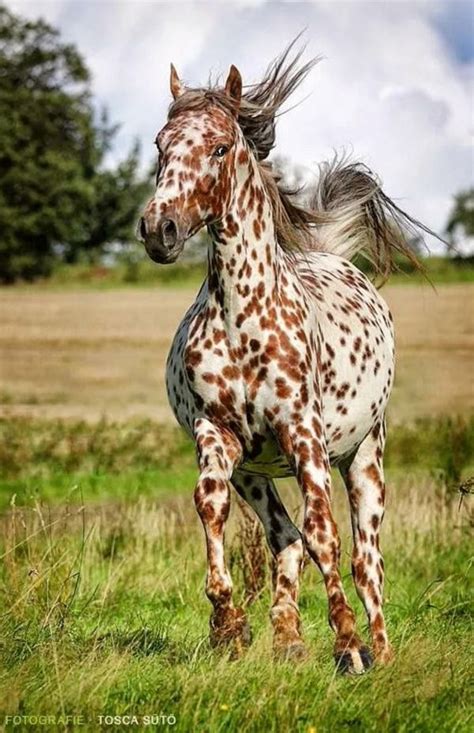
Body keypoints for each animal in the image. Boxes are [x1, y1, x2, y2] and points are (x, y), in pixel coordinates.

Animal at [138, 43, 436, 676]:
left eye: (219, 147)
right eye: (160, 145)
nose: (159, 229)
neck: (243, 316)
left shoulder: (304, 436)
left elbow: (327, 536)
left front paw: (347, 645)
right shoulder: (218, 435)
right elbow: (211, 507)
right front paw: (229, 626)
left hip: (364, 456)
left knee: (365, 559)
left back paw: (379, 649)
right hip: (256, 472)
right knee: (285, 538)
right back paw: (288, 639)